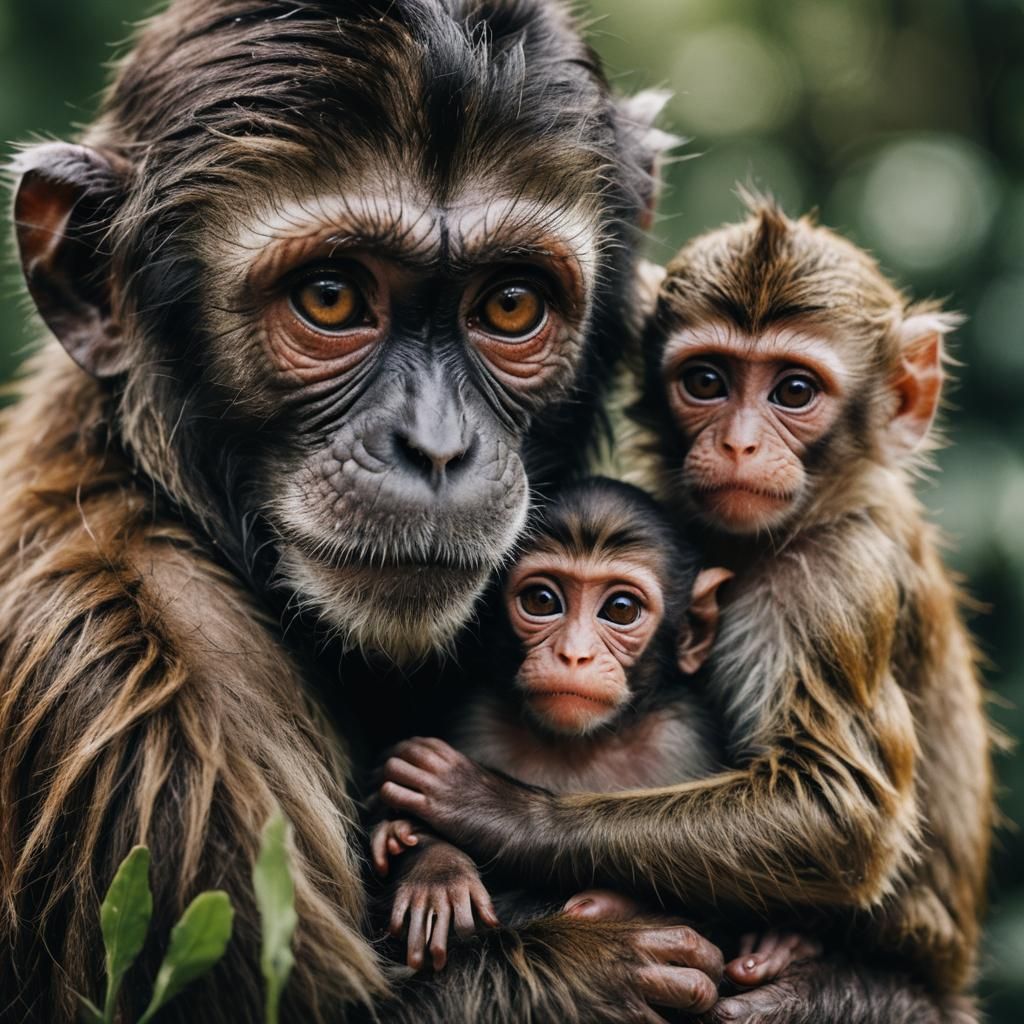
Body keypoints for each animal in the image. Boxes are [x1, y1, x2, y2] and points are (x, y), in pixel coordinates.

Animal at [371, 477, 821, 1004]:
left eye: (621, 610)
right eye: (542, 601)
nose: (574, 654)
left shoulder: (682, 736)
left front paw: (479, 808)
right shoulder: (476, 719)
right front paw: (435, 869)